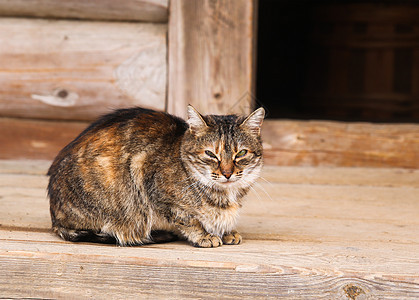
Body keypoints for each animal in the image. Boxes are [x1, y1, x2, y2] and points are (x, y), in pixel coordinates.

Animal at [47, 104, 266, 247]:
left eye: (241, 153)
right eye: (211, 154)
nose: (227, 173)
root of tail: (55, 218)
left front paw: (226, 231)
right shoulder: (149, 180)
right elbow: (188, 219)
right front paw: (204, 235)